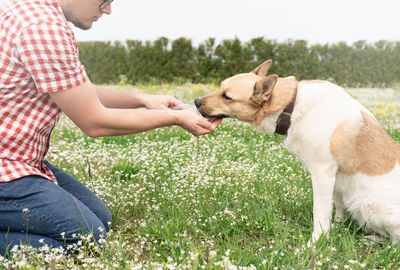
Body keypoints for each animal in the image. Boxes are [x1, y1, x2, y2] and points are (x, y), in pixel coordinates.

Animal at [195, 59, 400, 245]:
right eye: (219, 88)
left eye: (227, 97)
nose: (196, 102)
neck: (290, 106)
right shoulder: (334, 179)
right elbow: (337, 210)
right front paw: (336, 229)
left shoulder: (322, 172)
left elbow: (321, 215)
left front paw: (316, 243)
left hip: (369, 204)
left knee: (394, 241)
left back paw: (373, 240)